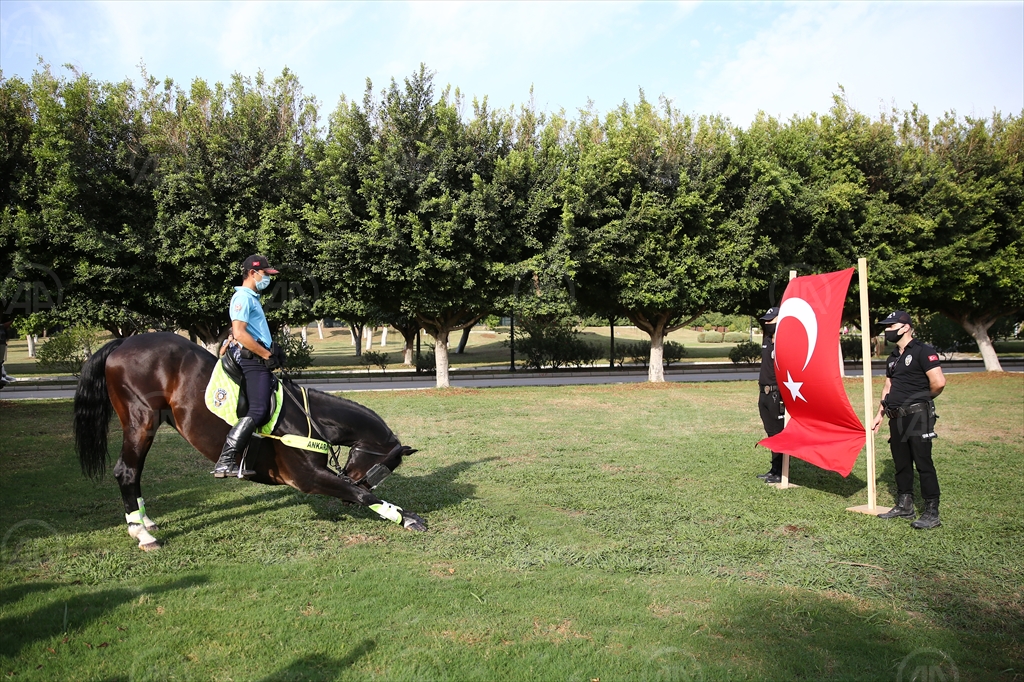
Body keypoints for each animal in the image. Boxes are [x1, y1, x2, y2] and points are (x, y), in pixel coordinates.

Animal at [74, 331, 421, 548]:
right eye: (384, 468)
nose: (355, 476)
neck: (311, 418)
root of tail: (123, 343)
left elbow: (356, 494)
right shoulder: (306, 477)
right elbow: (361, 496)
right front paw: (405, 517)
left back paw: (145, 521)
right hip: (141, 421)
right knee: (127, 471)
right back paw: (141, 533)